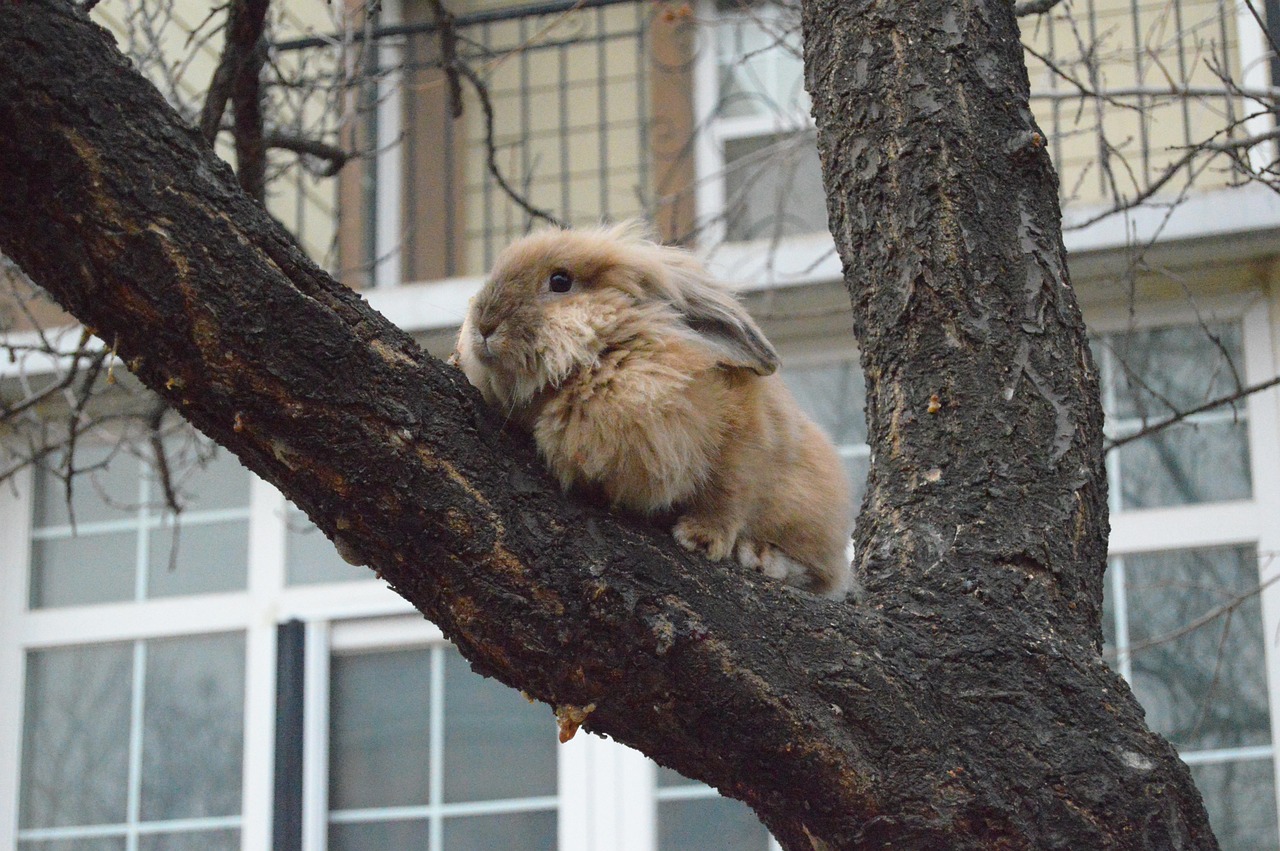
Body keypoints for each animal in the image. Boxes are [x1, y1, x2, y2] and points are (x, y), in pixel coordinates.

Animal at [455, 221, 853, 598]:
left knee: (822, 572)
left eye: (560, 281)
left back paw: (761, 558)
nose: (484, 325)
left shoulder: (745, 442)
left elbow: (729, 496)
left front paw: (701, 539)